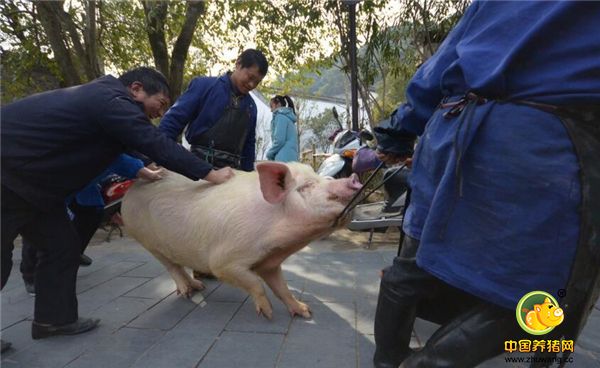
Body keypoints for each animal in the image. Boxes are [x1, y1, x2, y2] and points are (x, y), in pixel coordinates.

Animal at [119, 162, 358, 320]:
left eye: (327, 179)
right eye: (306, 186)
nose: (353, 178)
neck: (280, 243)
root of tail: (131, 190)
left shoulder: (270, 262)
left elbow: (282, 287)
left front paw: (306, 312)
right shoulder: (224, 261)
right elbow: (254, 283)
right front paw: (268, 314)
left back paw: (199, 287)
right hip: (144, 239)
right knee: (171, 266)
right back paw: (188, 292)